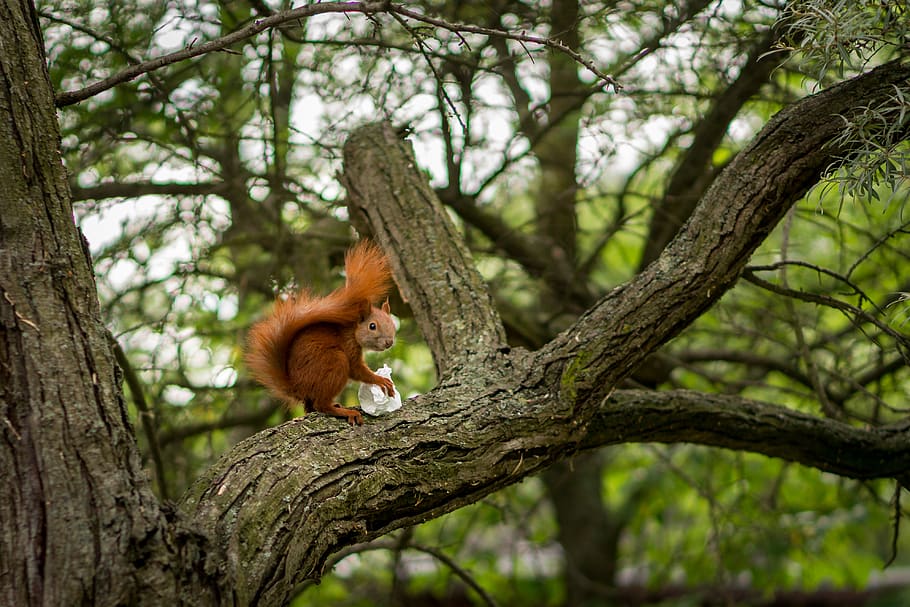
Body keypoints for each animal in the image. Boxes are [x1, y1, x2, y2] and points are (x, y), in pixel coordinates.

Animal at [245, 240, 397, 426]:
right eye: (372, 326)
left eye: (392, 324)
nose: (389, 342)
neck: (352, 330)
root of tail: (297, 387)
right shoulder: (349, 346)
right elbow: (357, 370)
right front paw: (380, 380)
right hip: (335, 362)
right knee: (321, 405)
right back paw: (344, 411)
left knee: (313, 406)